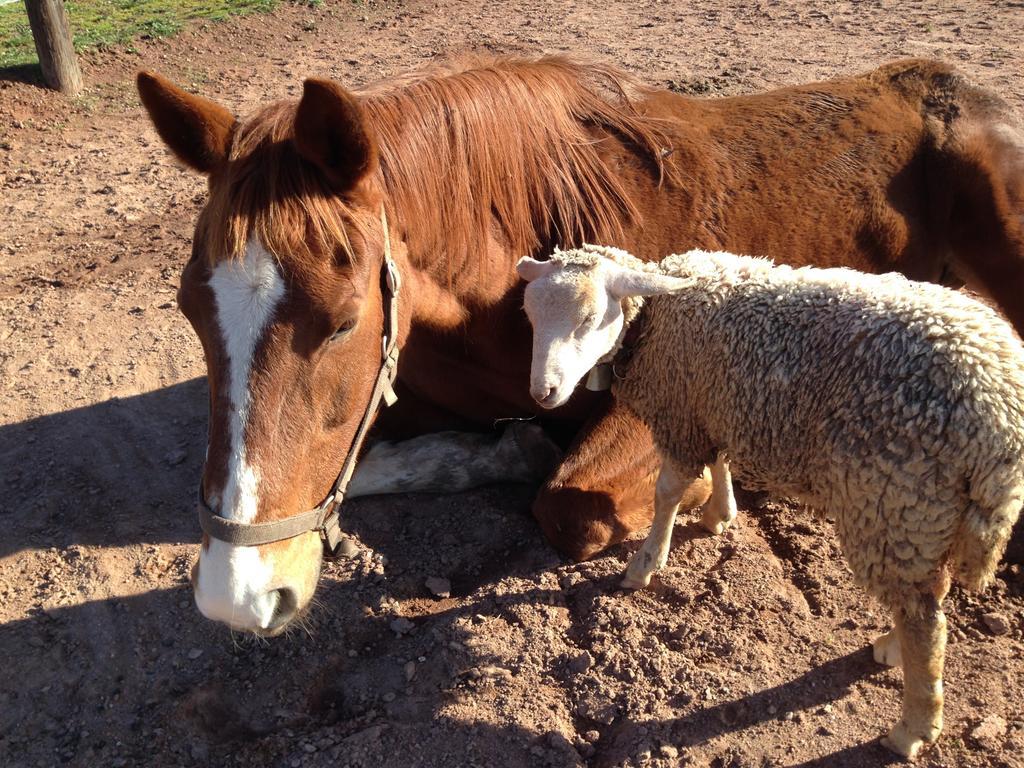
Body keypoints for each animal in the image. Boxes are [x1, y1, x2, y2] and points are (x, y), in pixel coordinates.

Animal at [138, 57, 1024, 638]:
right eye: (188, 311)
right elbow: (374, 464)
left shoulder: (653, 400)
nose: (237, 596)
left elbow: (567, 504)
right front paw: (488, 451)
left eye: (346, 320)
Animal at [516, 244, 1024, 757]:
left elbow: (666, 494)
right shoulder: (715, 407)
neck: (657, 320)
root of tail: (1002, 415)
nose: (543, 392)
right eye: (530, 316)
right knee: (930, 594)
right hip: (929, 508)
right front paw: (719, 514)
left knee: (925, 620)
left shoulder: (681, 416)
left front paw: (644, 565)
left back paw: (912, 726)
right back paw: (894, 647)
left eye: (588, 318)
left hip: (897, 494)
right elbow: (719, 463)